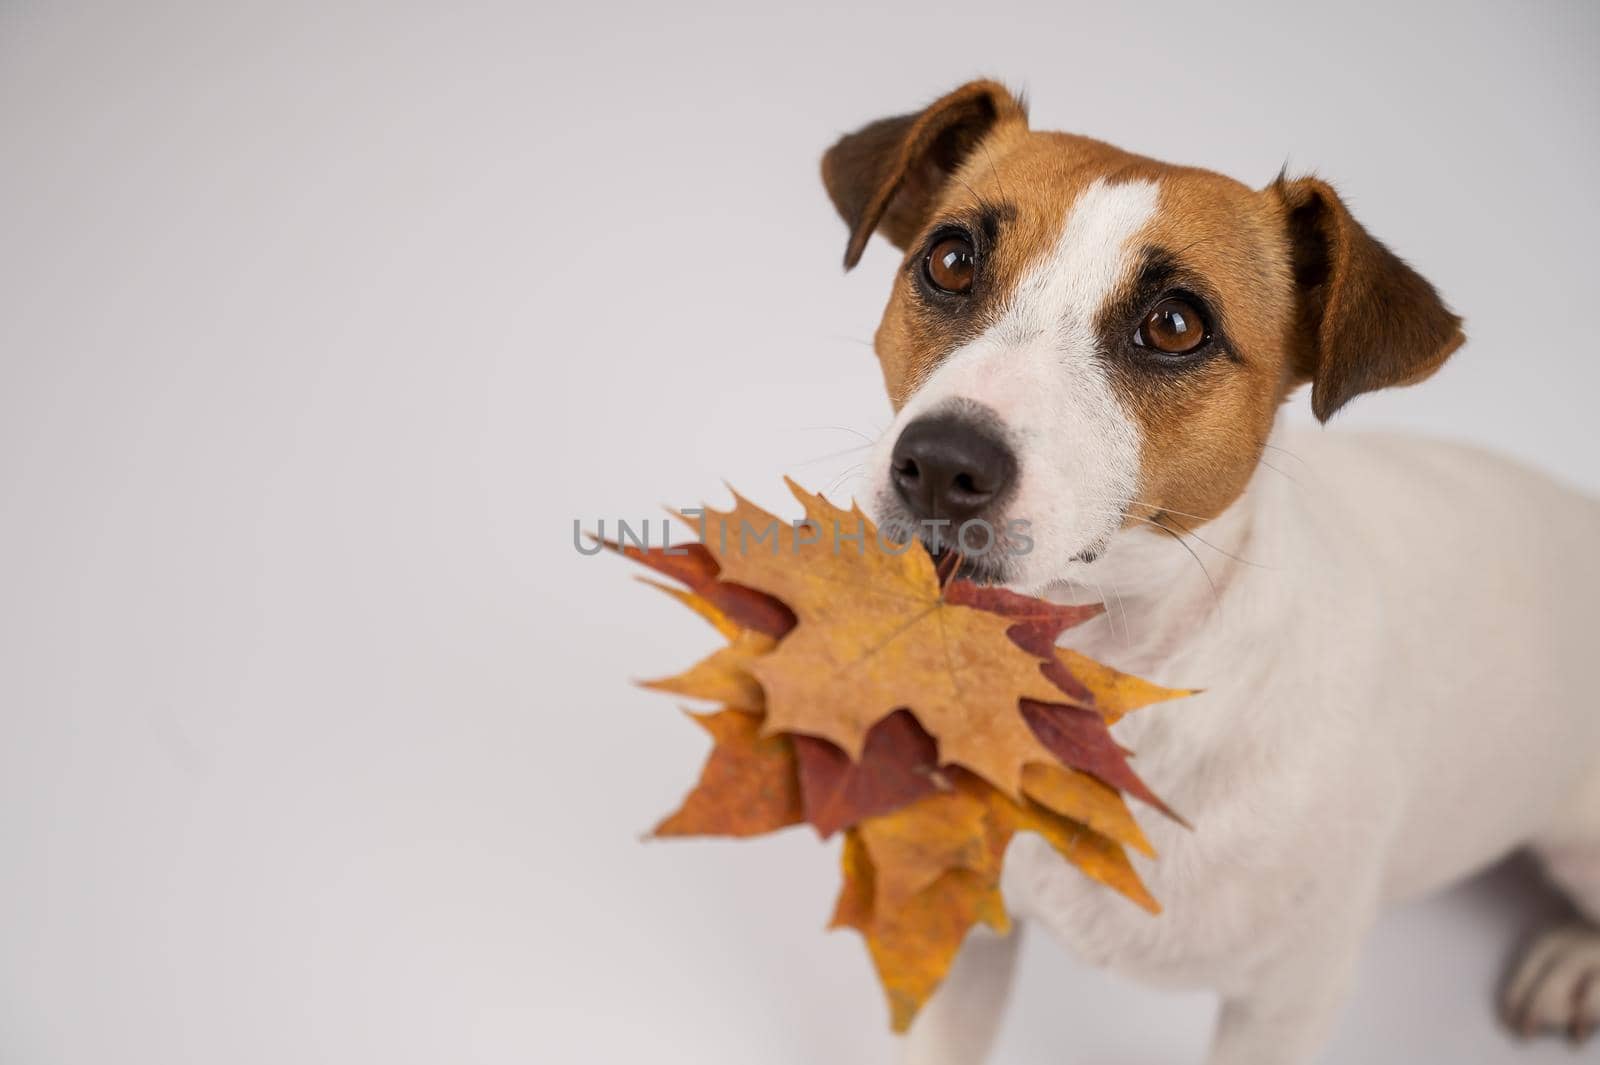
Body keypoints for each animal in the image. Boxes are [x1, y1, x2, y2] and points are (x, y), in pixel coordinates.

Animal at [825, 83, 1600, 1061]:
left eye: (1175, 325)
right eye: (952, 260)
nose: (938, 464)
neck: (1109, 675)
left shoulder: (1285, 1003)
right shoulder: (966, 923)